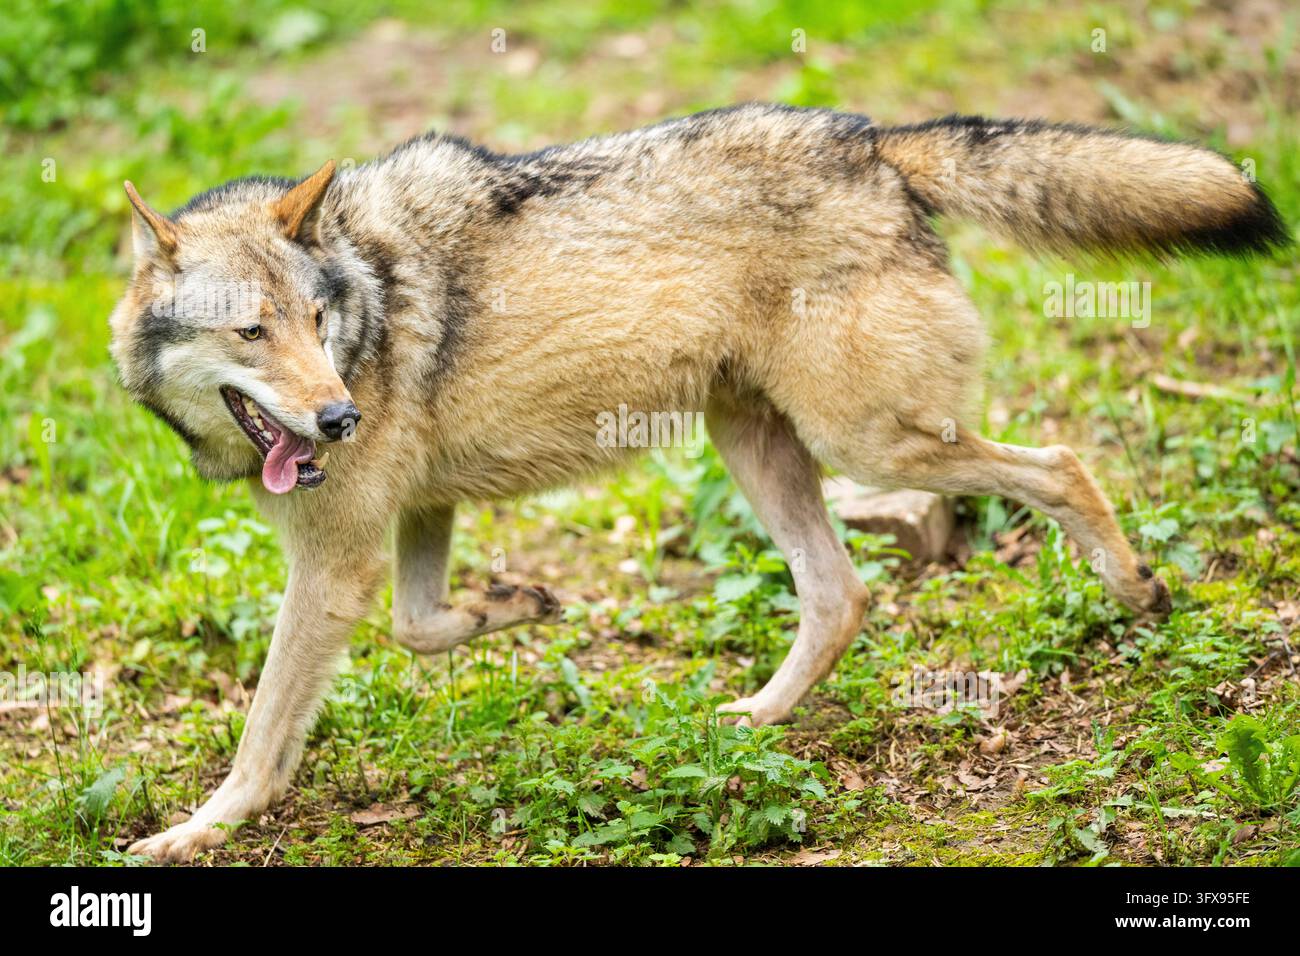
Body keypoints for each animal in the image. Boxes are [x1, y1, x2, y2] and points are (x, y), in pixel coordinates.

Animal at [109, 104, 1288, 861]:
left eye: (314, 323)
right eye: (252, 332)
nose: (339, 416)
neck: (364, 296)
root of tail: (872, 141)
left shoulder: (335, 561)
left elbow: (264, 733)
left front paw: (194, 831)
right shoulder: (413, 521)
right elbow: (426, 626)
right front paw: (520, 602)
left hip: (871, 447)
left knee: (1061, 464)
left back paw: (1138, 591)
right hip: (761, 448)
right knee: (840, 593)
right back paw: (750, 720)